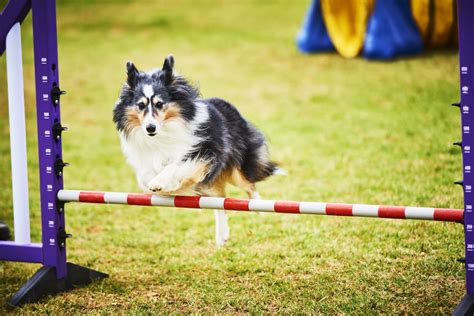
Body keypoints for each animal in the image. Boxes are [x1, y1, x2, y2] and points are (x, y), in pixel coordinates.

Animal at [112, 55, 280, 247]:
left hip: (236, 169)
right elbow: (148, 176)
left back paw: (261, 211)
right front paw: (164, 185)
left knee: (249, 186)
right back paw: (222, 235)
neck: (164, 131)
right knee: (220, 200)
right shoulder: (146, 162)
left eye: (159, 104)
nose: (150, 128)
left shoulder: (205, 154)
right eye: (140, 105)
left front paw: (163, 182)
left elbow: (176, 165)